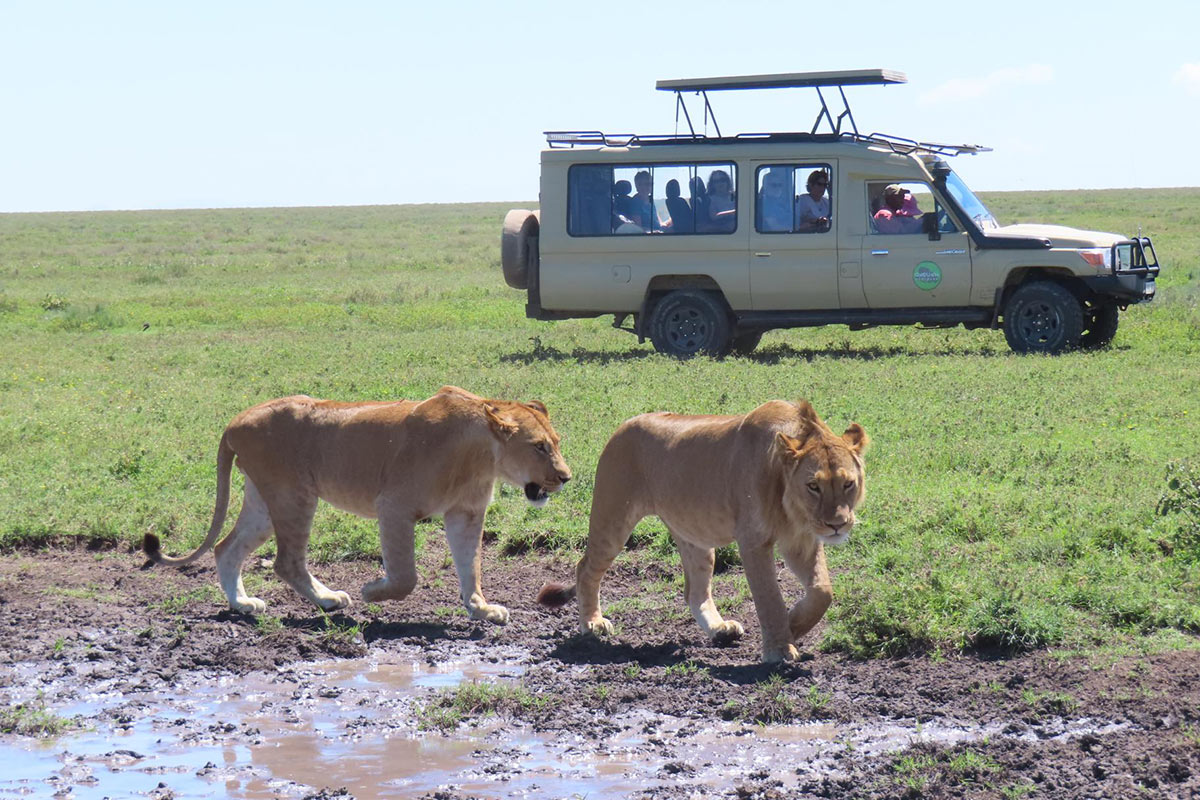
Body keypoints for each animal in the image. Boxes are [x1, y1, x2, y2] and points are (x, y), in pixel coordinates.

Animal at [144, 385, 572, 623]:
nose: (565, 477)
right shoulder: (394, 505)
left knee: (226, 548)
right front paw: (372, 591)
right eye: (539, 447)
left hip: (264, 502)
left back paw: (243, 604)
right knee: (286, 561)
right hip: (293, 496)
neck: (483, 455)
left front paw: (482, 609)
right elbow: (405, 576)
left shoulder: (466, 513)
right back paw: (328, 599)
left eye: (556, 442)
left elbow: (472, 567)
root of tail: (235, 421)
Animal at [537, 400, 867, 662]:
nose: (837, 524)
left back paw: (720, 629)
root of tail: (624, 425)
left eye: (848, 483)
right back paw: (592, 623)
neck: (793, 509)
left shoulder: (803, 540)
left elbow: (822, 592)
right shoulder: (753, 541)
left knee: (694, 592)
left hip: (694, 536)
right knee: (585, 568)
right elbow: (769, 598)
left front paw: (794, 624)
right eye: (813, 486)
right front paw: (780, 648)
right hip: (613, 518)